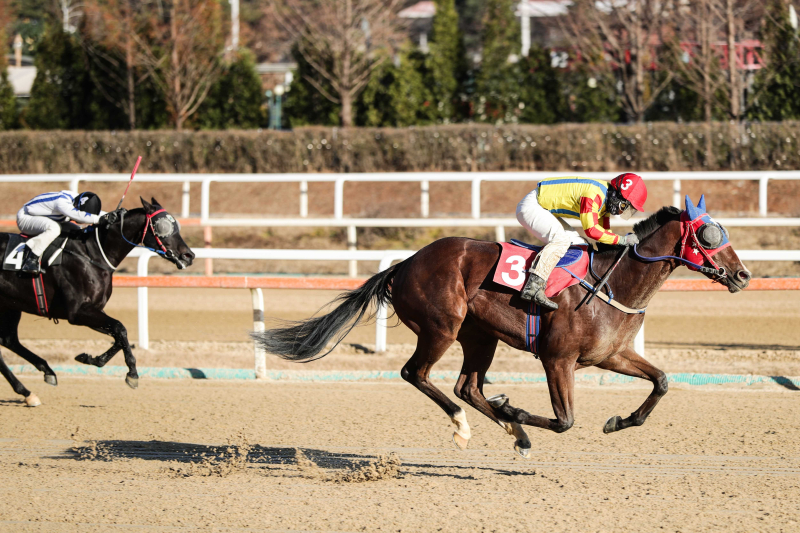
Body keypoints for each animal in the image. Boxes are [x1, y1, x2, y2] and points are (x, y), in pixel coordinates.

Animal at [0, 197, 194, 406]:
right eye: (163, 226)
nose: (189, 255)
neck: (92, 254)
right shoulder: (78, 312)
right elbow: (119, 329)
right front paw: (133, 374)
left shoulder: (93, 310)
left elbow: (119, 333)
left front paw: (89, 358)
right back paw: (29, 388)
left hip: (11, 306)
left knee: (9, 340)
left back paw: (39, 380)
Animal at [256, 197, 752, 456]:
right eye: (710, 234)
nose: (743, 274)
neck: (614, 283)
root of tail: (405, 263)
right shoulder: (558, 359)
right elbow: (565, 421)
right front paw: (515, 411)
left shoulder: (611, 354)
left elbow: (662, 381)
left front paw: (618, 421)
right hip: (442, 326)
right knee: (417, 374)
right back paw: (470, 426)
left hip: (480, 335)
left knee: (467, 387)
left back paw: (512, 430)